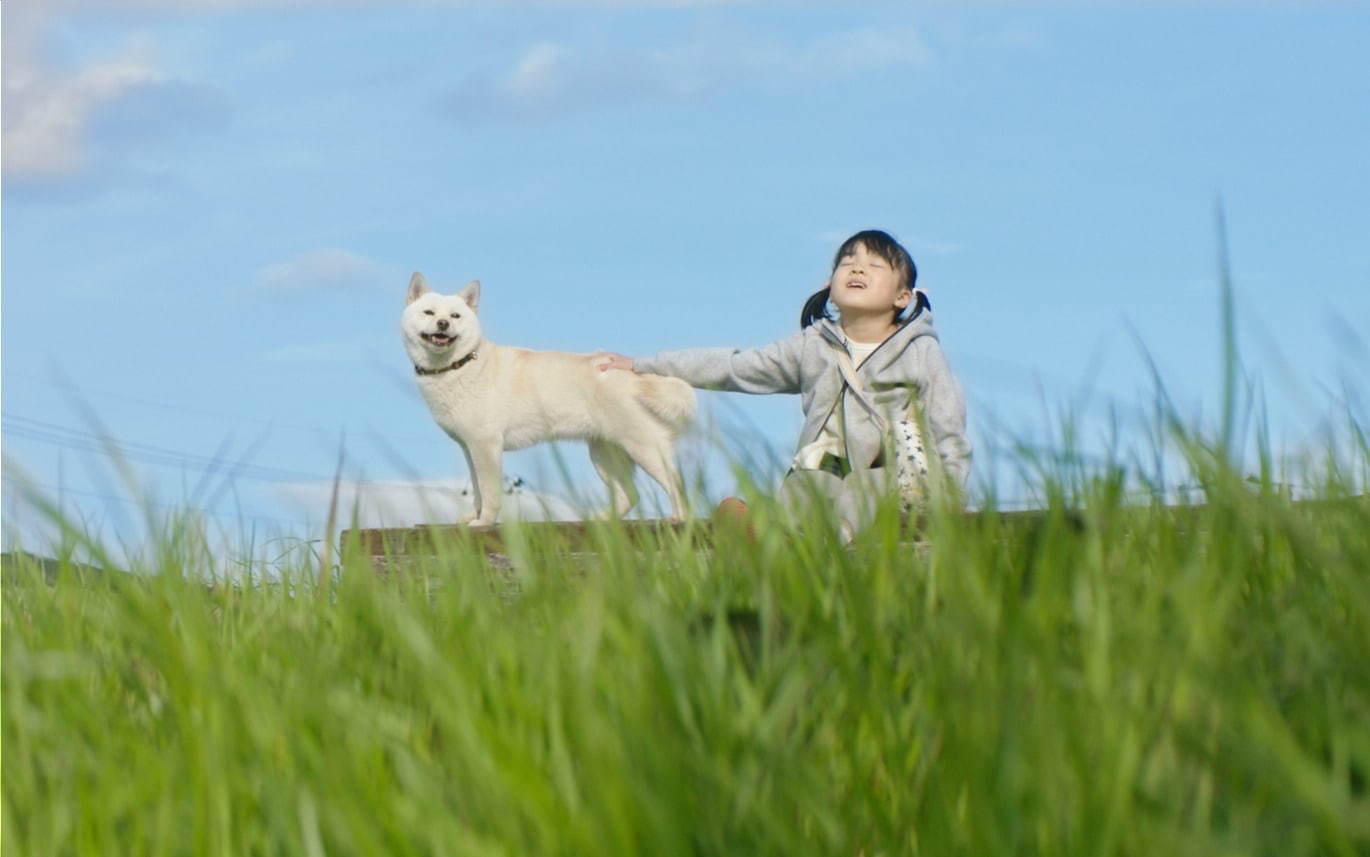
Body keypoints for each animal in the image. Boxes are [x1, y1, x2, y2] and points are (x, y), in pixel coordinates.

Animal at [400, 273, 695, 522]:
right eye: (429, 312)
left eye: (455, 315)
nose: (443, 324)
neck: (459, 365)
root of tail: (637, 375)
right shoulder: (469, 448)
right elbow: (477, 489)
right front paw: (474, 517)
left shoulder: (486, 445)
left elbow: (490, 492)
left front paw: (484, 523)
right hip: (605, 455)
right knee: (630, 495)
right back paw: (602, 522)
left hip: (644, 448)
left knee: (676, 486)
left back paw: (680, 520)